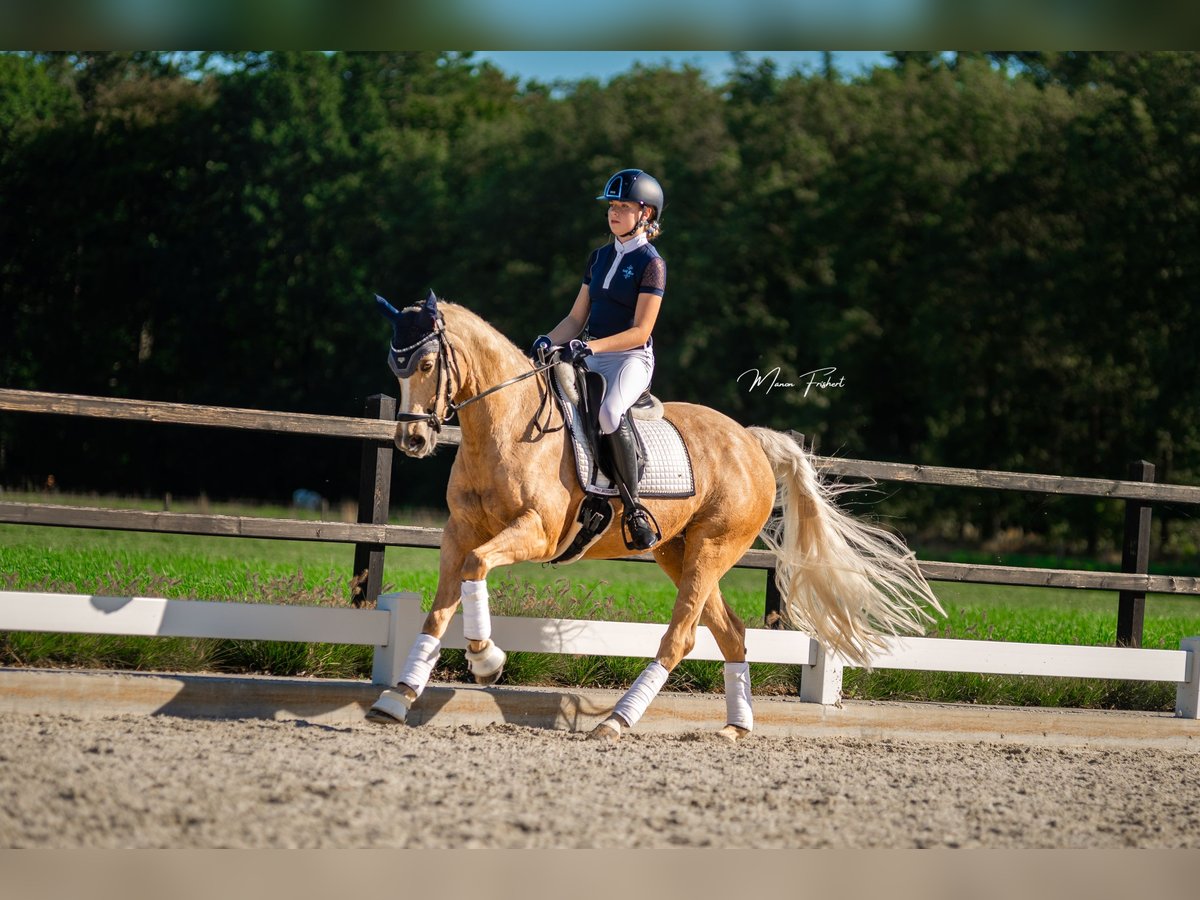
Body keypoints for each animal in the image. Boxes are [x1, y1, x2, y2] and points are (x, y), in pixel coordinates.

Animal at [369, 292, 940, 744]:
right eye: (395, 368)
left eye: (425, 365)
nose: (412, 440)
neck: (505, 427)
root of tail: (750, 440)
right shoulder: (458, 532)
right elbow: (440, 608)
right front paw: (397, 697)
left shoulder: (537, 533)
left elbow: (476, 569)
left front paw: (486, 658)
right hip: (676, 549)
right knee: (731, 633)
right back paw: (735, 726)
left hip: (712, 547)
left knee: (682, 636)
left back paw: (617, 721)